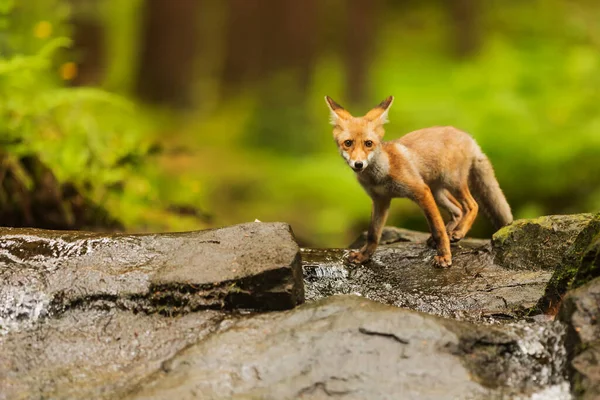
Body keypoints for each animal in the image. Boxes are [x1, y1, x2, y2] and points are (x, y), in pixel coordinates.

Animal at [326, 95, 512, 268]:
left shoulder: (420, 191)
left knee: (472, 205)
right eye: (348, 143)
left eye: (368, 143)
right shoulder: (380, 200)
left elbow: (437, 229)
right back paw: (450, 232)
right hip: (437, 192)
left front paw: (444, 256)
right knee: (458, 210)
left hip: (452, 183)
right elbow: (373, 234)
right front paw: (364, 256)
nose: (358, 164)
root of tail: (468, 136)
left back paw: (458, 232)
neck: (380, 175)